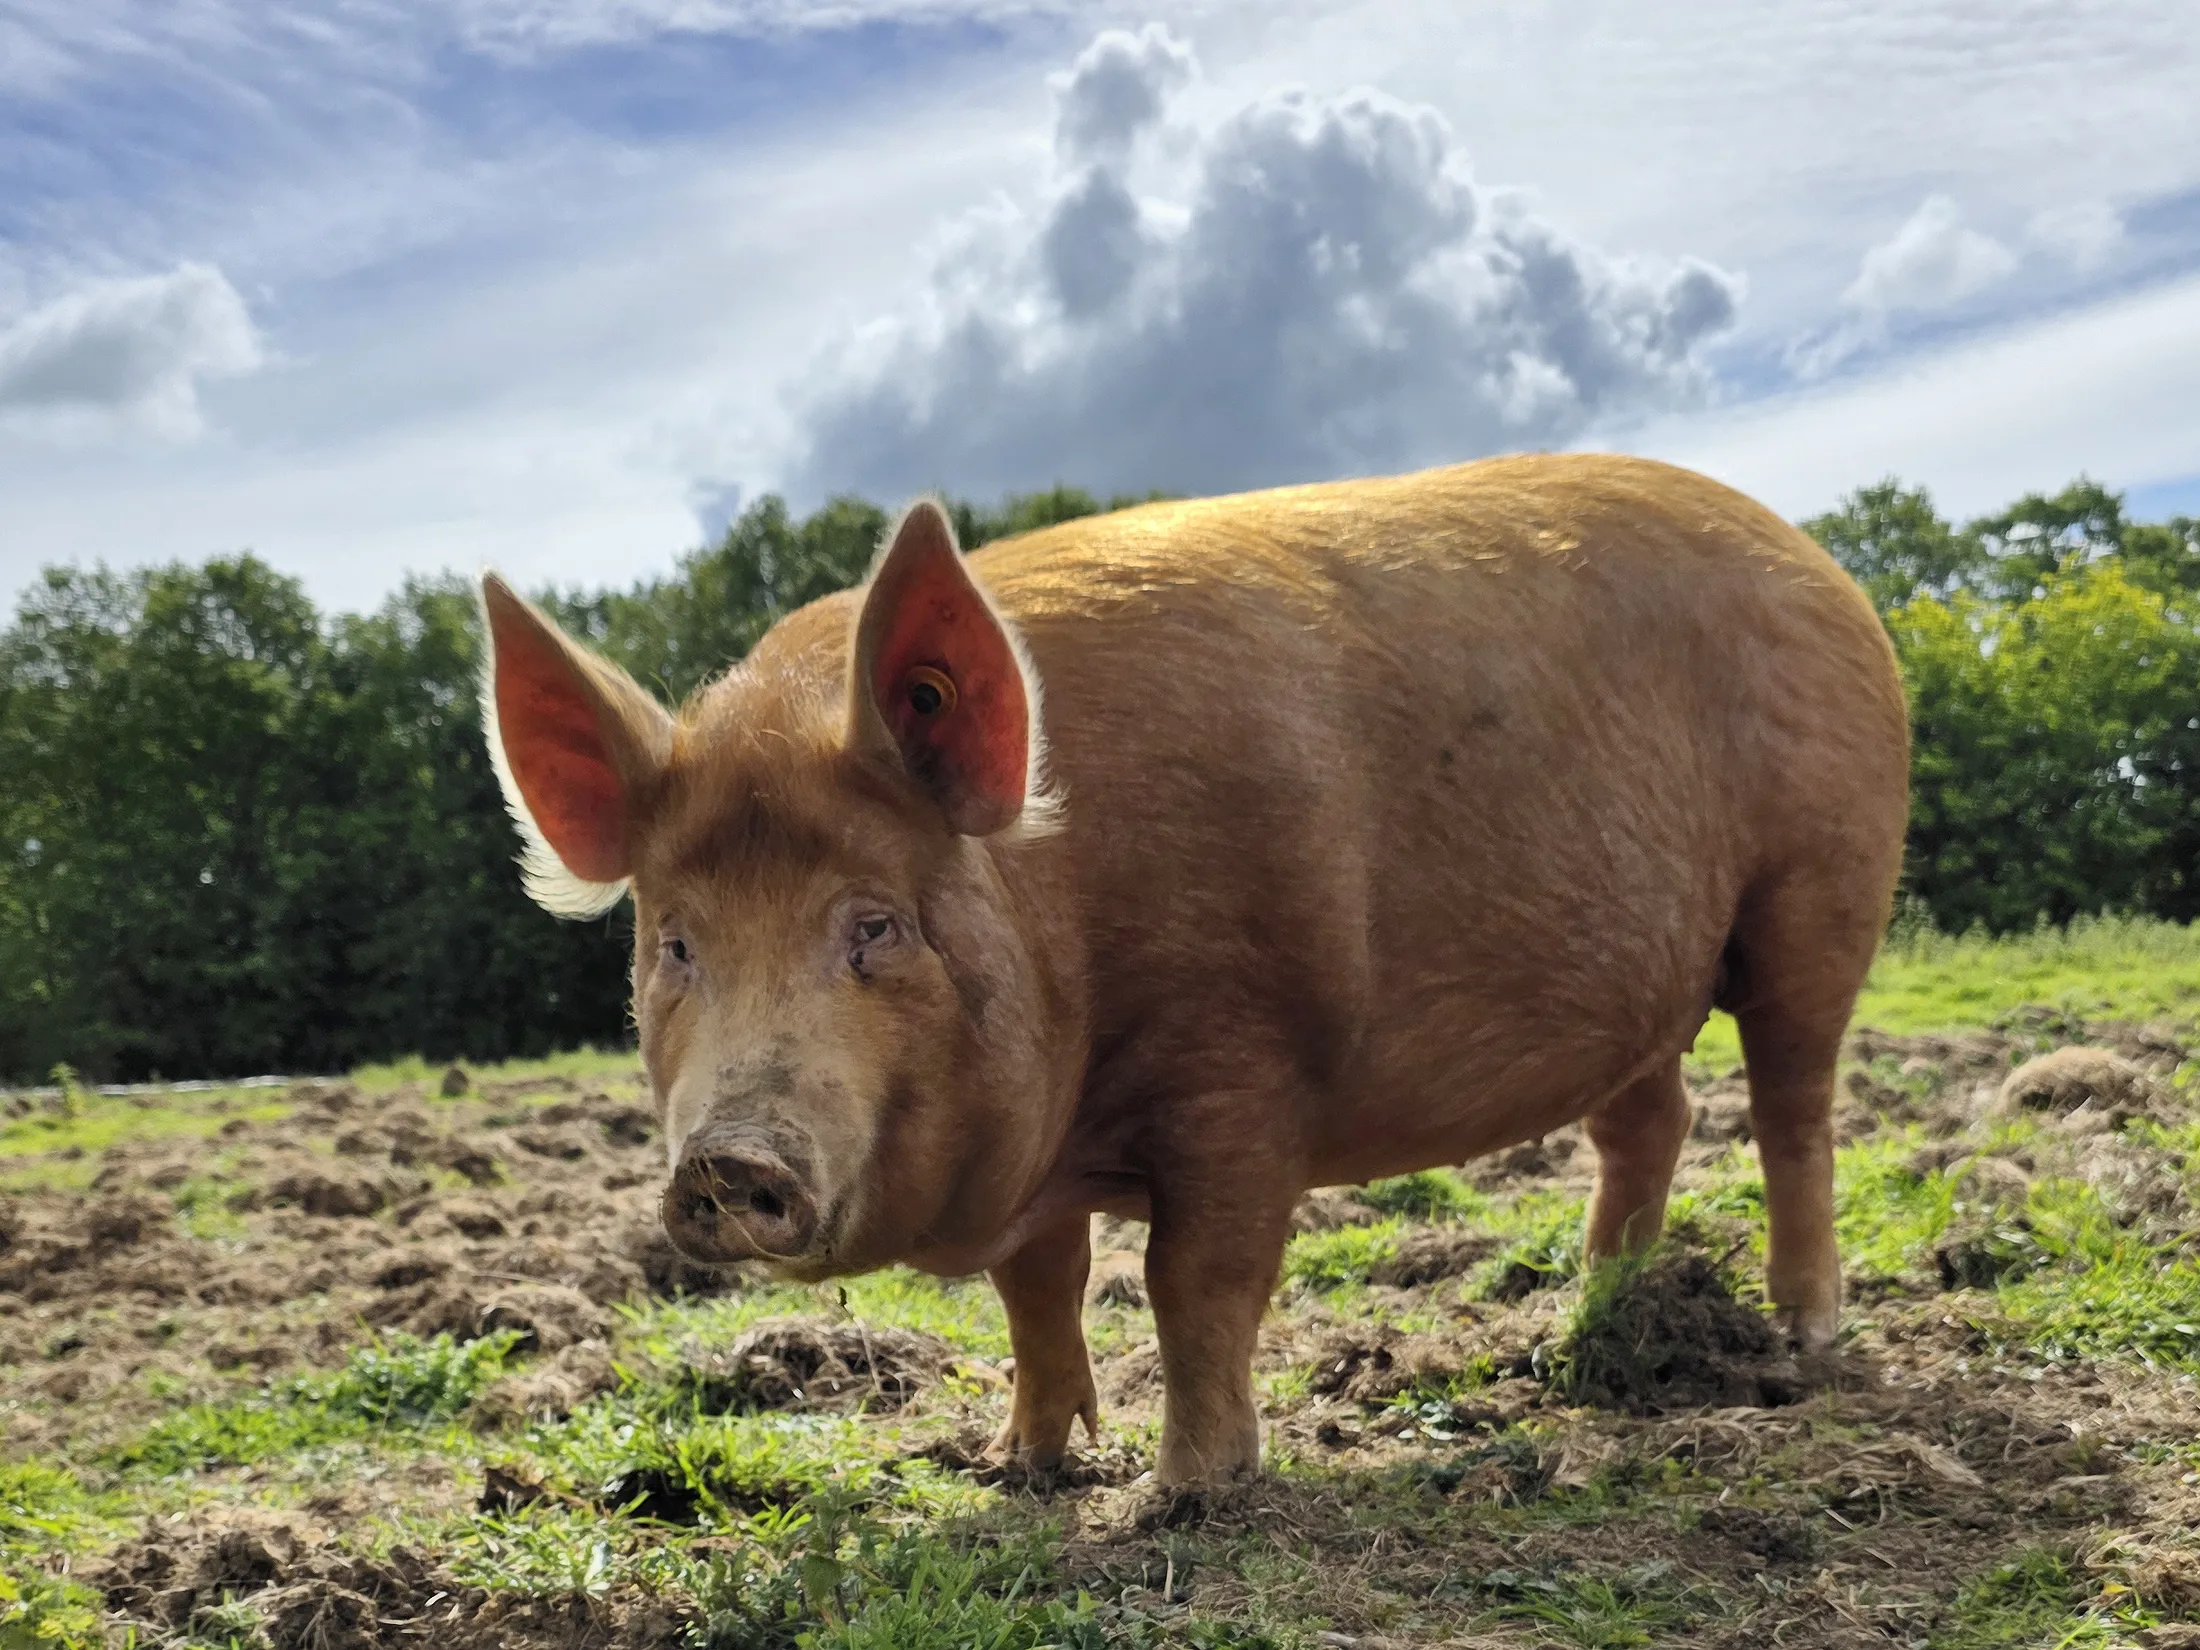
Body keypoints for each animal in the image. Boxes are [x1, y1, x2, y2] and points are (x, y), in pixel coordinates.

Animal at [477, 452, 1908, 1486]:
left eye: (874, 925)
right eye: (676, 942)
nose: (727, 1158)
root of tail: (1829, 570)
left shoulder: (1244, 1063)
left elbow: (1194, 1281)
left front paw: (1194, 1493)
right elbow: (1037, 1293)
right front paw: (1022, 1470)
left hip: (1822, 885)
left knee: (1790, 1104)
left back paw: (1798, 1337)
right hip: (1632, 977)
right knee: (1647, 1119)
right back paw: (1582, 1322)